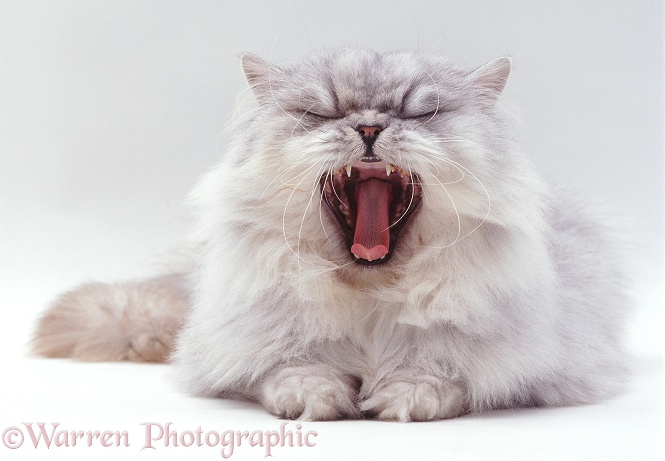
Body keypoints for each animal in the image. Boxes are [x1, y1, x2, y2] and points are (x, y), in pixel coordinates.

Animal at [32, 47, 632, 420]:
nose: (368, 125)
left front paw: (405, 396)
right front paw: (313, 397)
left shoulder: (528, 363)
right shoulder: (255, 348)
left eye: (421, 113)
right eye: (322, 113)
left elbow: (441, 369)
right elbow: (292, 368)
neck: (370, 297)